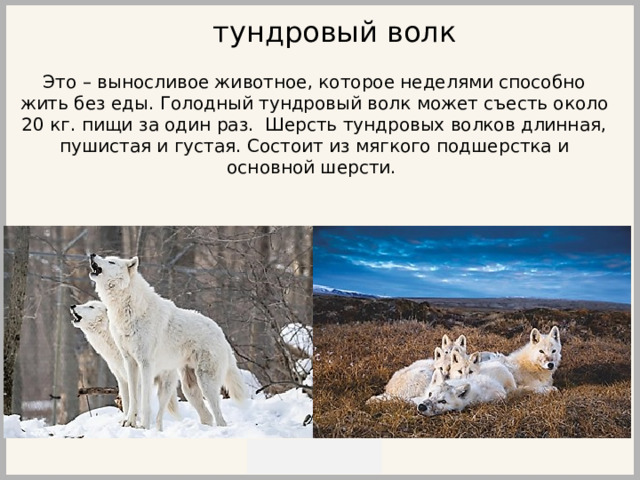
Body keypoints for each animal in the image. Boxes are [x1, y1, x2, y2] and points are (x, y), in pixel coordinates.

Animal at [70, 300, 180, 430]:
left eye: (91, 306)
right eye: (86, 303)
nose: (72, 306)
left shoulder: (137, 380)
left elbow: (135, 403)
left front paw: (134, 423)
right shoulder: (121, 379)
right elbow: (127, 403)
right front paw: (125, 421)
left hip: (165, 387)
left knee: (160, 414)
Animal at [89, 254, 249, 429]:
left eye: (111, 261)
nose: (92, 255)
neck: (129, 308)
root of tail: (221, 333)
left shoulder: (146, 364)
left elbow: (144, 400)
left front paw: (144, 426)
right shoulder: (129, 361)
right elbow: (132, 397)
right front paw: (129, 422)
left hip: (206, 384)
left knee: (220, 419)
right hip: (189, 388)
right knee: (207, 416)